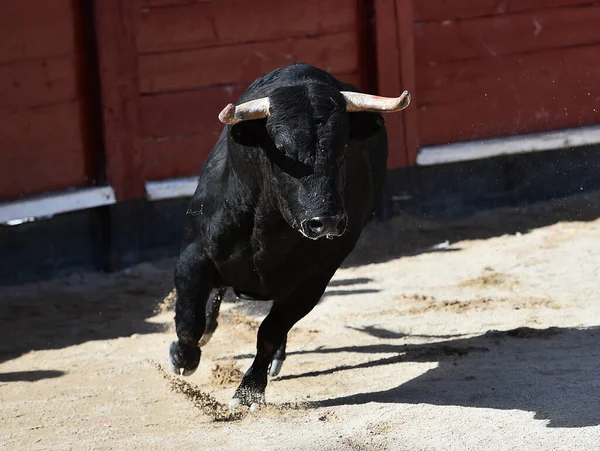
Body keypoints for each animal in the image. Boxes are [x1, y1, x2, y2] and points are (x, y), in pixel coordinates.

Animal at [171, 63, 410, 410]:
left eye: (343, 149)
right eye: (282, 151)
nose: (326, 222)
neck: (267, 227)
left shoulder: (313, 281)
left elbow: (270, 331)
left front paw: (249, 391)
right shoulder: (194, 254)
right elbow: (189, 321)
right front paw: (182, 358)